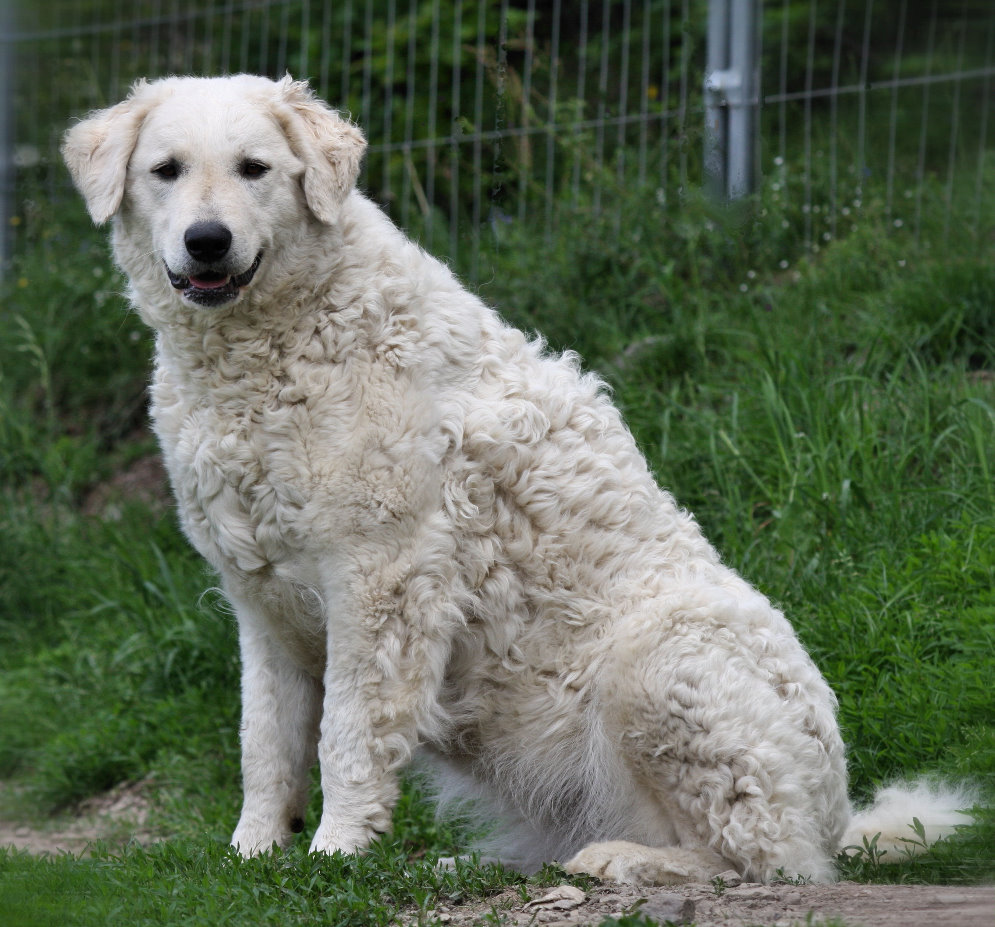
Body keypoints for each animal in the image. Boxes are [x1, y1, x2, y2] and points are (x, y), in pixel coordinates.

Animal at [62, 74, 972, 884]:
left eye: (253, 168)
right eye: (166, 169)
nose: (207, 239)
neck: (270, 343)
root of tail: (839, 814)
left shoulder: (380, 579)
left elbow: (347, 734)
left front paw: (336, 850)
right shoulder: (261, 602)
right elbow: (266, 742)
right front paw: (254, 852)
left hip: (657, 659)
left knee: (768, 858)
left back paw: (623, 861)